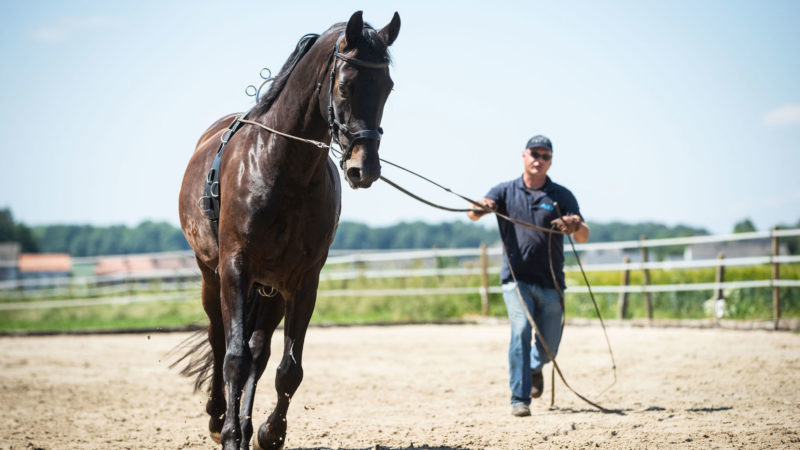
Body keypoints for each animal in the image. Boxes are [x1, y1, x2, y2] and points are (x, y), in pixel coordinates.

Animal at [176, 11, 400, 450]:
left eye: (387, 87)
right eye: (345, 85)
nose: (363, 168)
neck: (281, 166)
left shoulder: (302, 281)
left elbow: (286, 369)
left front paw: (269, 432)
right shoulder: (235, 269)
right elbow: (233, 357)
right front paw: (229, 433)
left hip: (270, 289)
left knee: (258, 353)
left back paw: (247, 426)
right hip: (212, 277)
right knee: (220, 341)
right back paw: (219, 418)